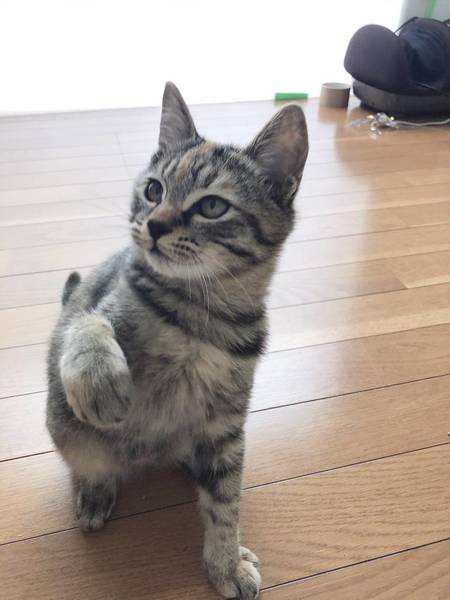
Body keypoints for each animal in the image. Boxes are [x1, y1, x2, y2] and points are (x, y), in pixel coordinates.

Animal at [46, 82, 308, 599]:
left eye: (212, 206)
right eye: (154, 190)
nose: (154, 224)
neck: (202, 310)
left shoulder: (226, 423)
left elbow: (225, 502)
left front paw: (226, 561)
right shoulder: (96, 307)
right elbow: (87, 326)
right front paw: (99, 379)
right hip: (66, 427)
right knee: (91, 461)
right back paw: (96, 490)